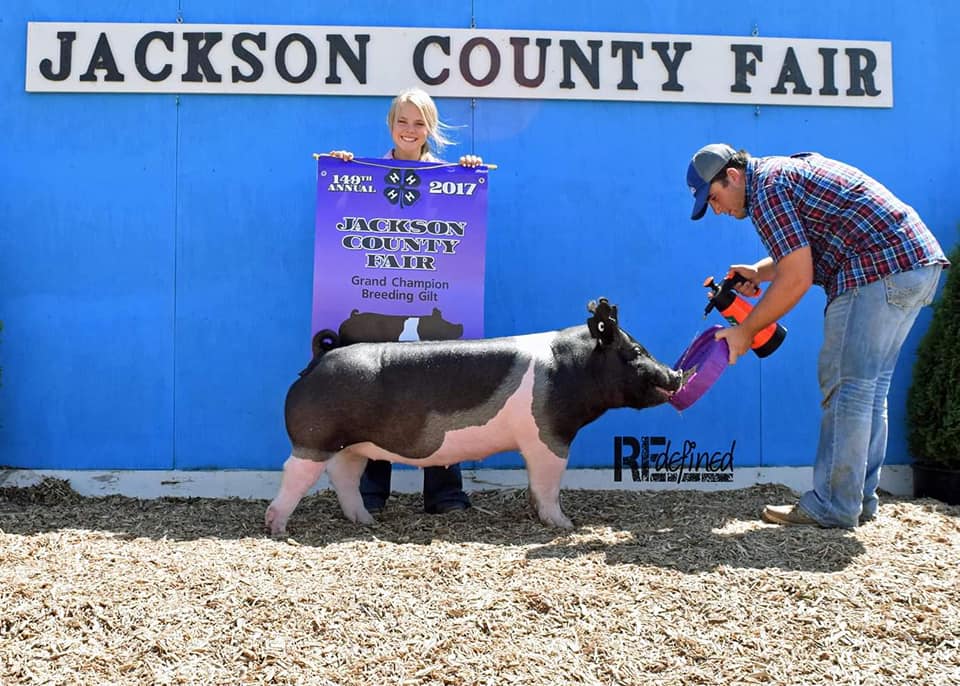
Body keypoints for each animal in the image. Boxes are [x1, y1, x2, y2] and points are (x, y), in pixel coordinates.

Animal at [266, 298, 688, 536]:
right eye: (636, 351)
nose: (676, 373)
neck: (571, 369)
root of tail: (319, 357)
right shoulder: (549, 435)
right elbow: (548, 483)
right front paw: (566, 525)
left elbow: (537, 484)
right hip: (313, 438)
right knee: (295, 473)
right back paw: (277, 528)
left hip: (352, 445)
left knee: (344, 477)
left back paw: (367, 522)